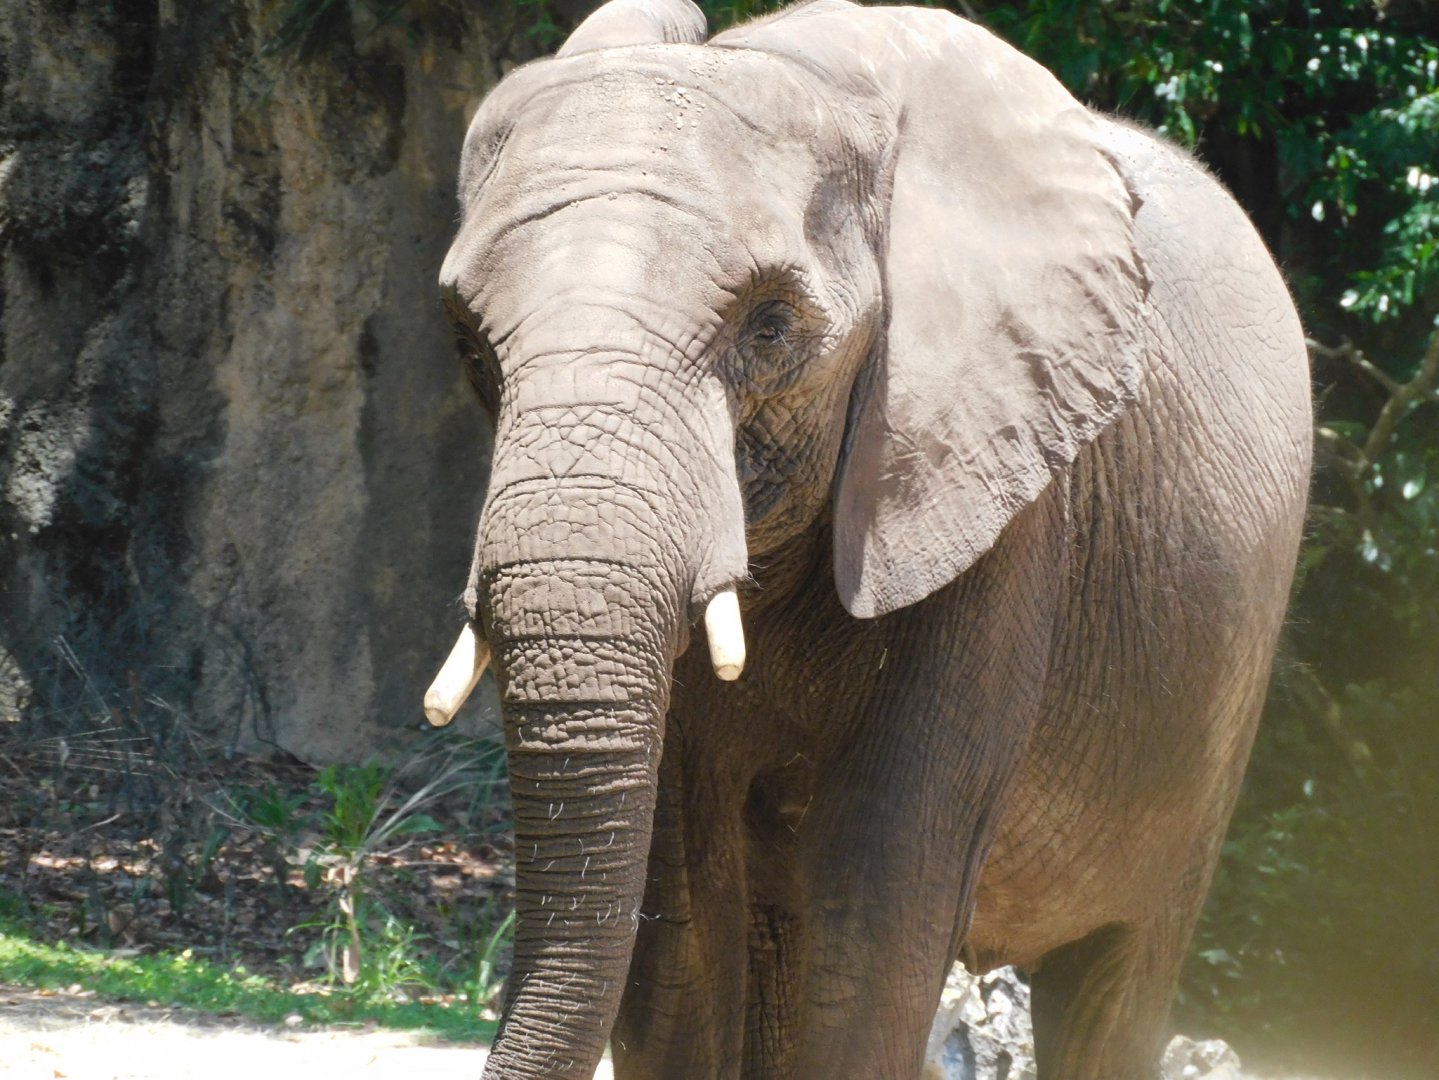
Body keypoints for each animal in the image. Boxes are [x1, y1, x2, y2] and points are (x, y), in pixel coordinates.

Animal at [422, 1, 1313, 1077]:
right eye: (470, 348)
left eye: (768, 328)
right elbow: (683, 914)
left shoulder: (999, 494)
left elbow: (878, 889)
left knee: (1114, 979)